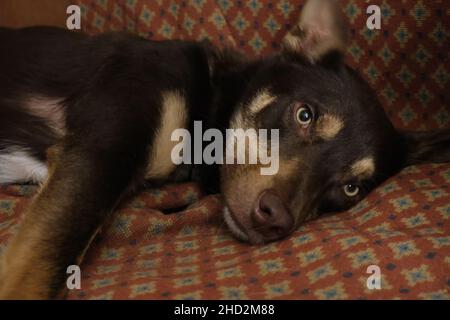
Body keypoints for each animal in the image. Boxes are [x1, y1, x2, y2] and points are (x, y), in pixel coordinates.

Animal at [0, 0, 450, 300]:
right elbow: (36, 269)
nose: (275, 220)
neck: (210, 93)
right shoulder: (101, 152)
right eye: (304, 115)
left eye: (351, 189)